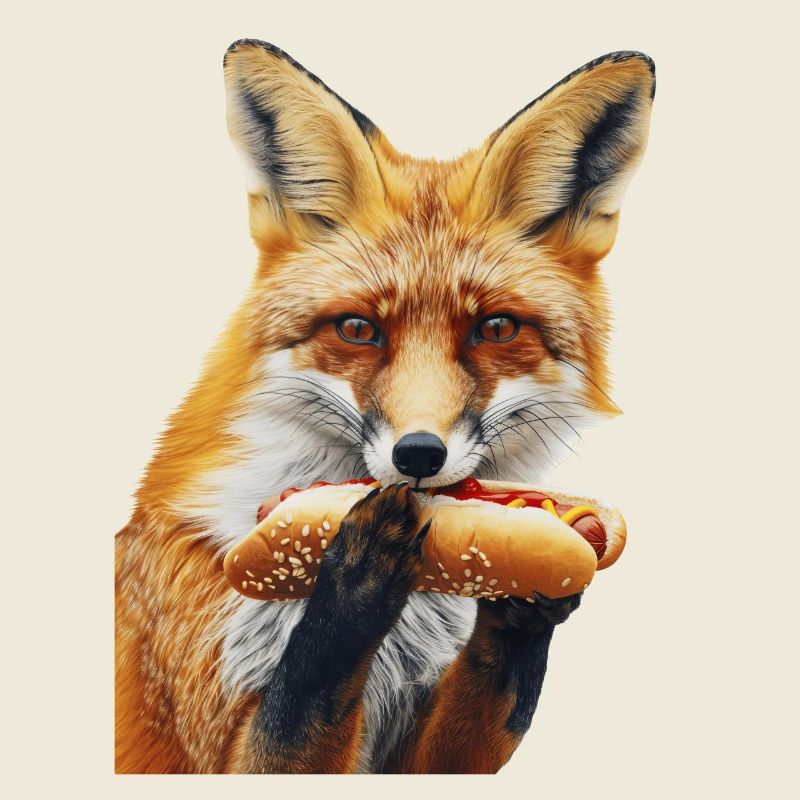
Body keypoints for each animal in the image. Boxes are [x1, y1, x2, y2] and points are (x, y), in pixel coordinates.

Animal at [115, 40, 655, 773]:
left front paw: (530, 596)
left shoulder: (417, 755)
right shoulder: (214, 736)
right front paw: (357, 570)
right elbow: (306, 686)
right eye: (357, 329)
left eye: (495, 329)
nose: (418, 455)